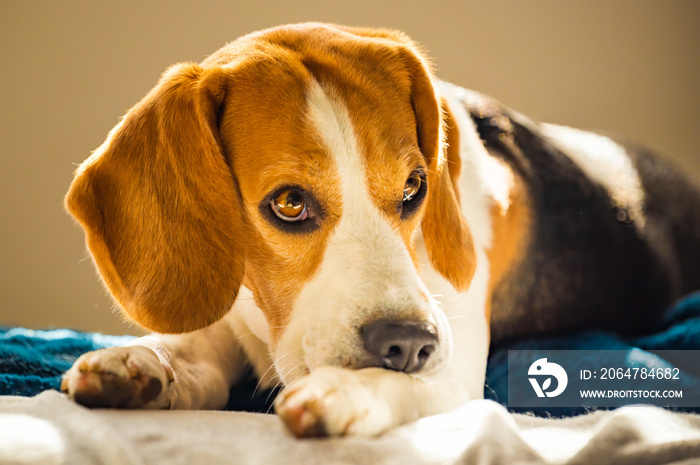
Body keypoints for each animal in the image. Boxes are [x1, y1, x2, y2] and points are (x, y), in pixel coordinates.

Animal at [60, 21, 700, 436]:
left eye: (415, 186)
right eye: (288, 203)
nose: (409, 343)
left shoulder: (455, 368)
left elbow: (411, 381)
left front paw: (348, 390)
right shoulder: (226, 321)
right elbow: (189, 351)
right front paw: (140, 362)